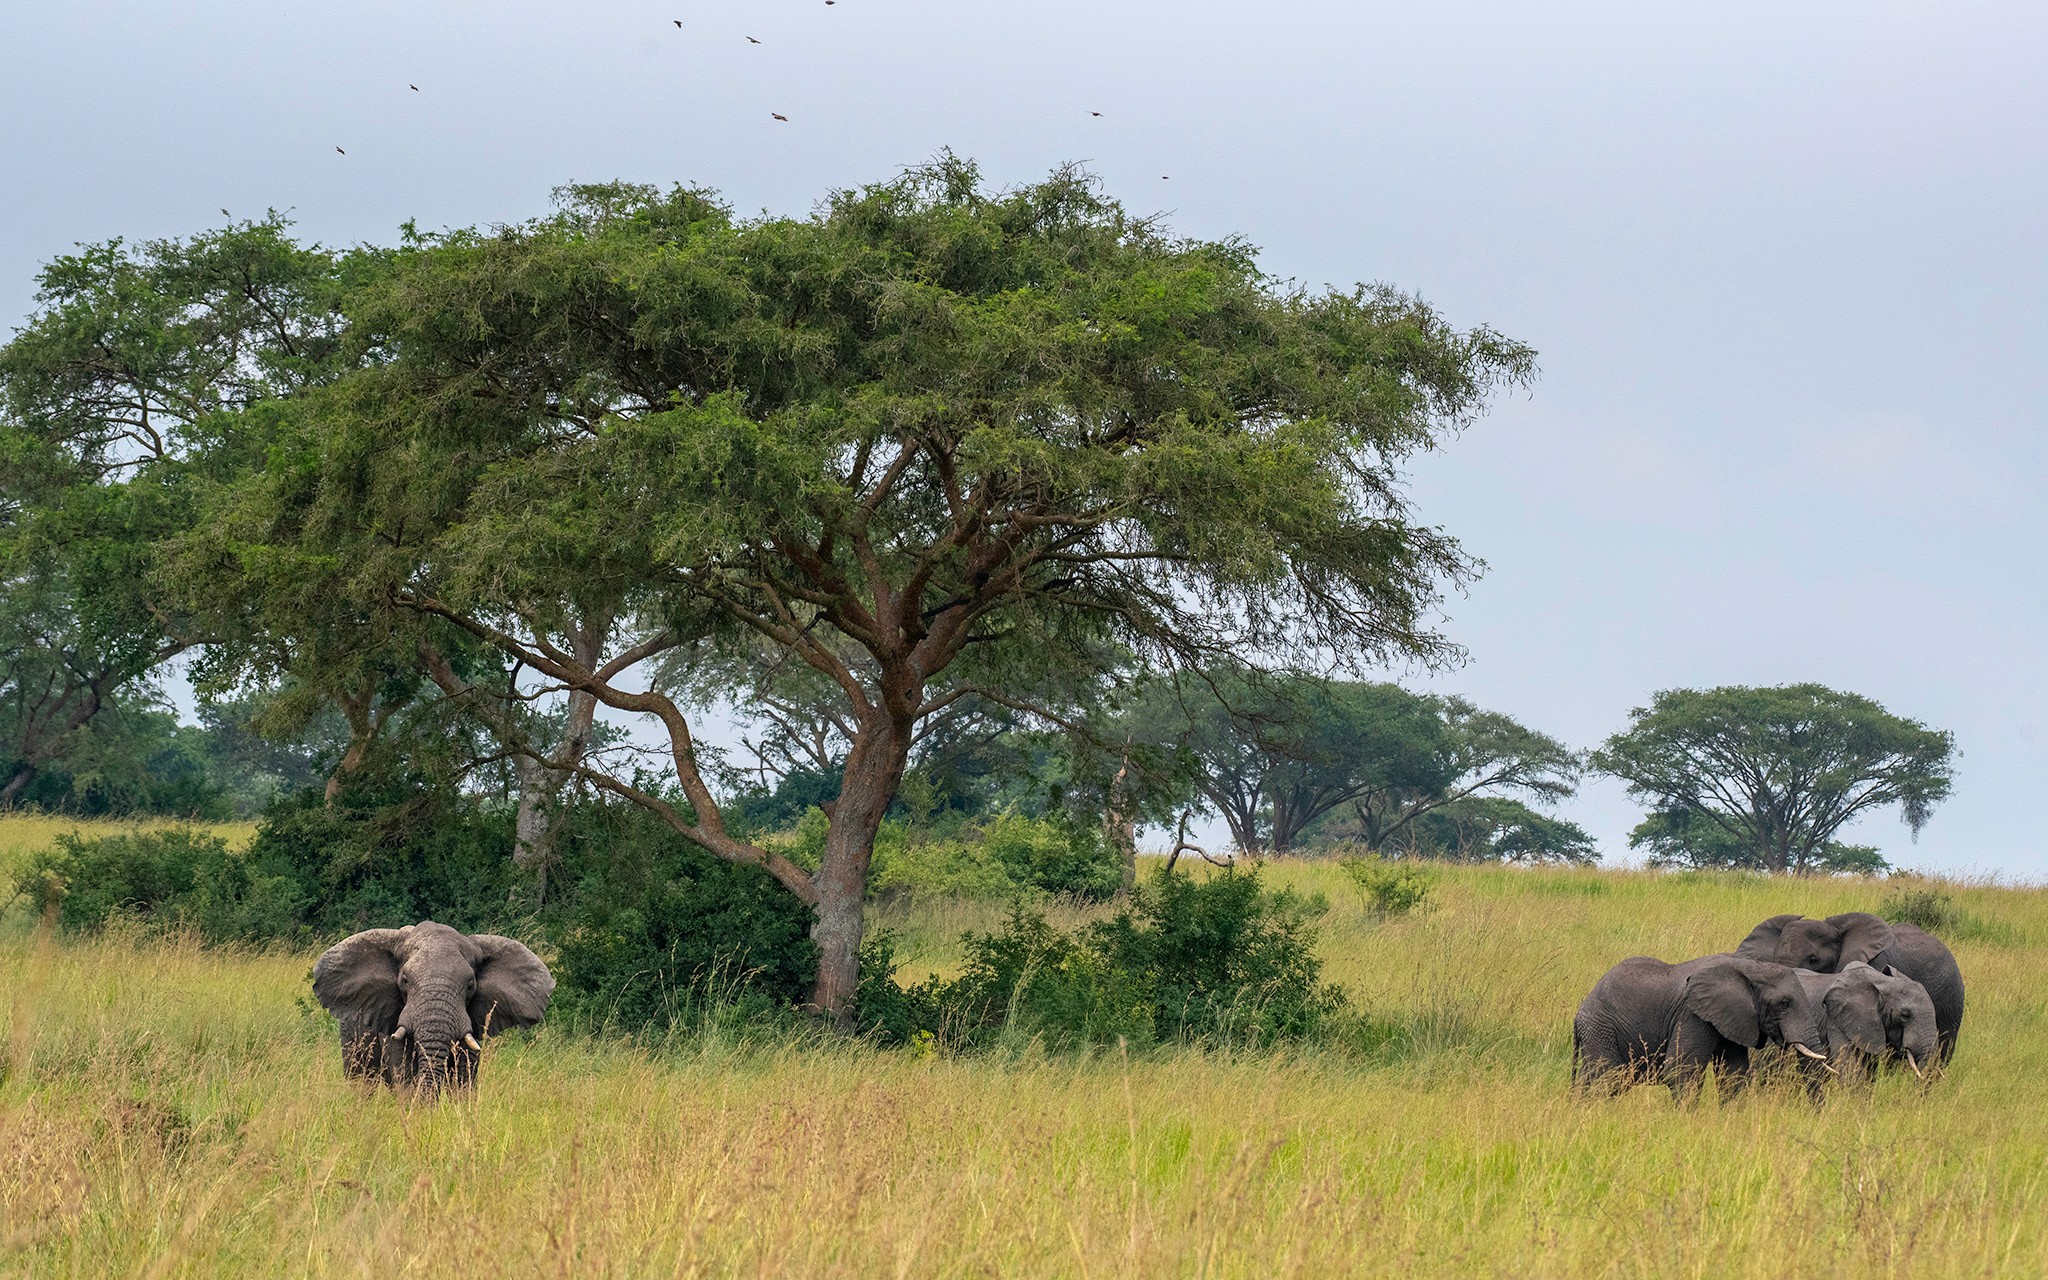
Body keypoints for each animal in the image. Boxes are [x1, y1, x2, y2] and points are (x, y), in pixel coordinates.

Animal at [1572, 953, 1830, 1100]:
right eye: (1784, 1004)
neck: (1750, 967)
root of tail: (1579, 1013)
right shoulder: (1692, 1015)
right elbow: (1680, 1071)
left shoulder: (1731, 1018)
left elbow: (1733, 1073)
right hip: (1601, 1029)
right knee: (1605, 1079)